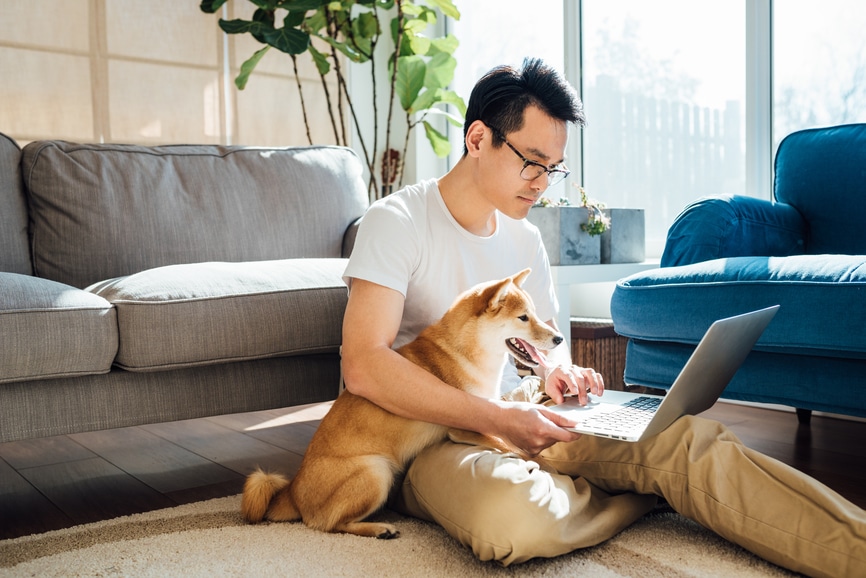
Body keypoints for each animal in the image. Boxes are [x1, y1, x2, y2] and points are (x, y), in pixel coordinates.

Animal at [238, 268, 560, 536]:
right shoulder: (468, 425)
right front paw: (544, 461)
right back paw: (378, 528)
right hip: (375, 471)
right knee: (329, 524)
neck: (465, 351)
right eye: (524, 318)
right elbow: (514, 446)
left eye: (535, 313)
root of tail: (292, 491)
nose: (558, 338)